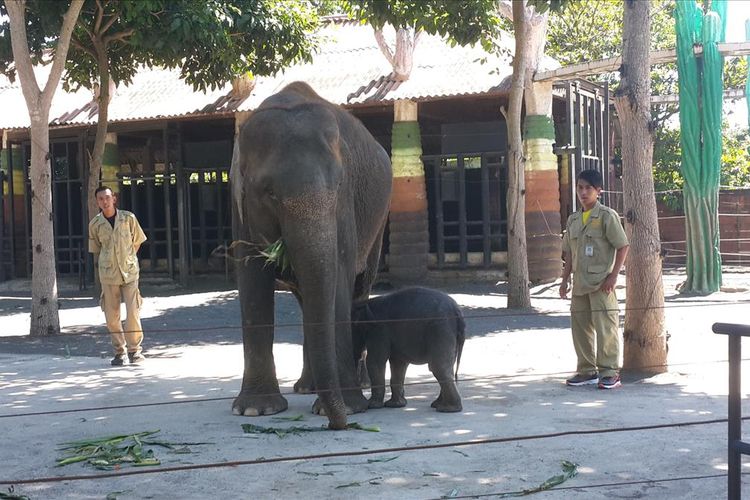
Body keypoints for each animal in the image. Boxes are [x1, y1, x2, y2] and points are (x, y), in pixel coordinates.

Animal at [229, 82, 394, 430]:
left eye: (339, 184)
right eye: (269, 192)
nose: (337, 423)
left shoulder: (345, 204)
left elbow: (341, 276)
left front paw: (349, 407)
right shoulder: (240, 206)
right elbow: (251, 279)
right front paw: (255, 411)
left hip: (378, 221)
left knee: (358, 290)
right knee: (308, 300)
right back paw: (308, 387)